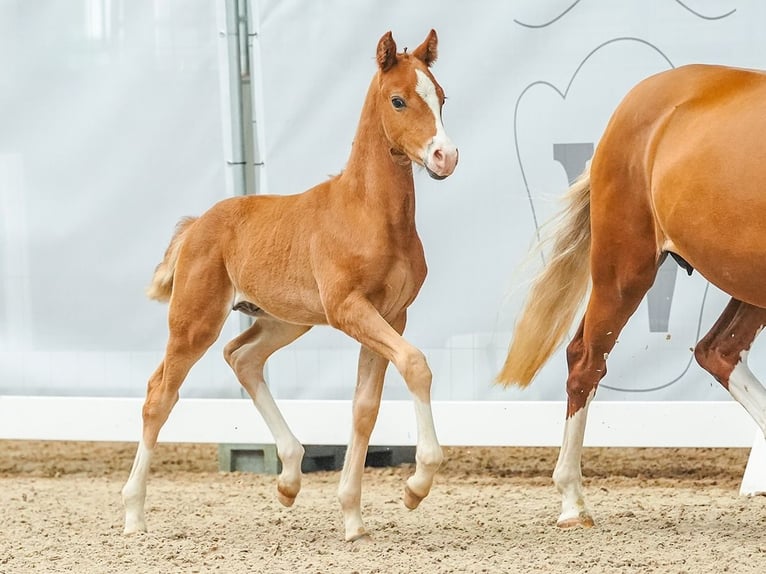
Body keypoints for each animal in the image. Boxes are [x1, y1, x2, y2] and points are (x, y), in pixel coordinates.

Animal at [123, 30, 460, 544]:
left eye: (441, 97)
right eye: (399, 100)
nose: (446, 156)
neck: (370, 213)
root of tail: (198, 223)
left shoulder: (391, 315)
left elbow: (365, 407)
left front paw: (352, 518)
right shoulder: (349, 310)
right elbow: (416, 364)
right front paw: (416, 486)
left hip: (285, 321)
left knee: (242, 357)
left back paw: (288, 479)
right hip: (195, 322)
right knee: (159, 394)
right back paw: (134, 513)